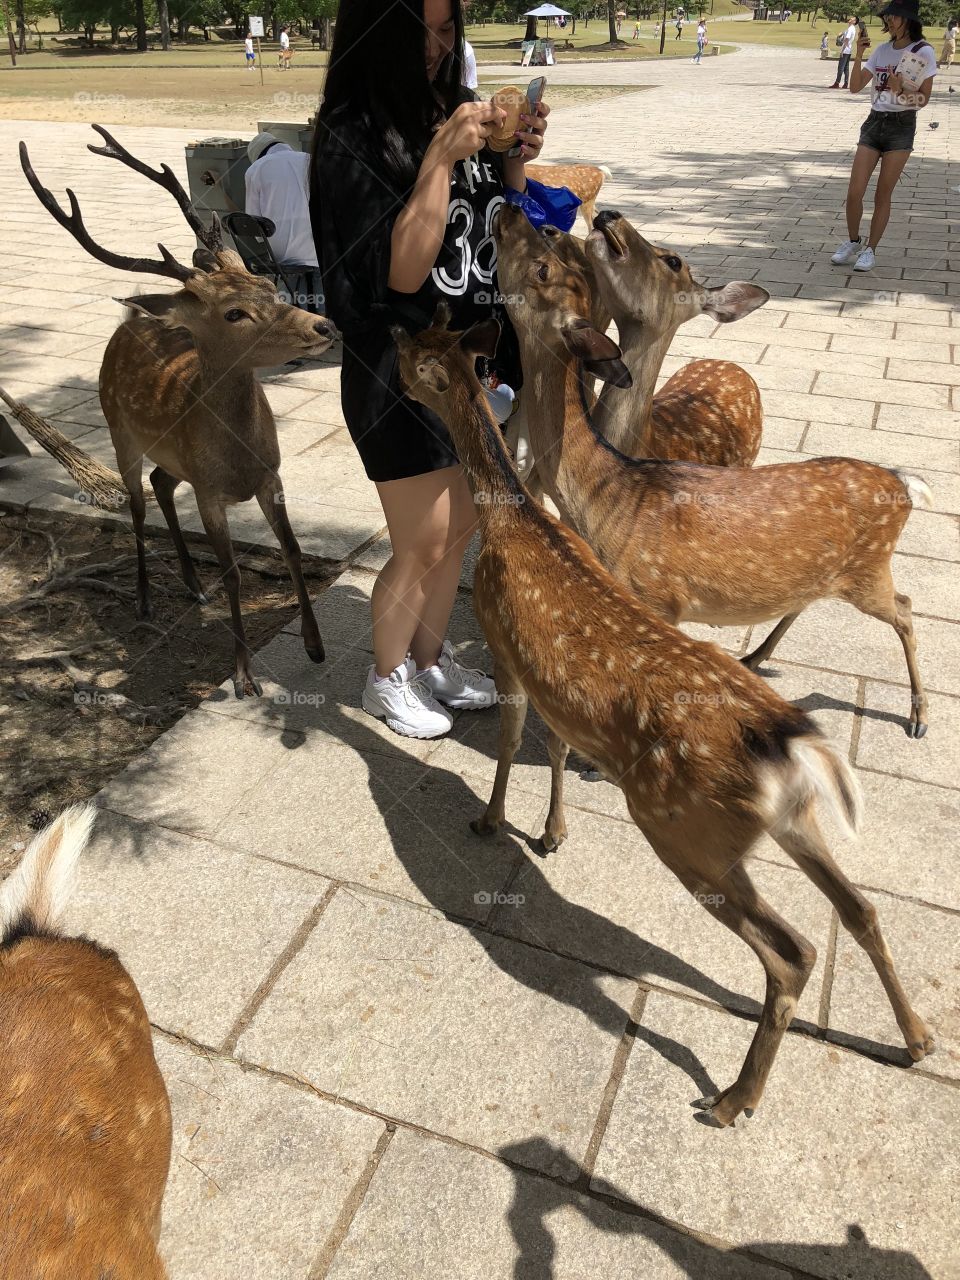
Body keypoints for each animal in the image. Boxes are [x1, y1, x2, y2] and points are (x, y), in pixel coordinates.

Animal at [19, 126, 337, 697]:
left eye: (269, 287)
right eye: (234, 313)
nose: (321, 326)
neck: (236, 463)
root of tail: (129, 323)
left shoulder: (271, 475)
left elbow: (294, 549)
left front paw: (315, 645)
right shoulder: (209, 492)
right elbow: (233, 572)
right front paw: (243, 677)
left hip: (171, 456)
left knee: (162, 483)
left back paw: (192, 586)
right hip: (119, 432)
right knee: (137, 502)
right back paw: (146, 598)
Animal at [391, 308, 933, 1129]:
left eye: (416, 349)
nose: (387, 337)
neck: (515, 522)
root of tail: (788, 747)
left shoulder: (504, 646)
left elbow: (514, 740)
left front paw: (491, 821)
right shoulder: (558, 691)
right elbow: (556, 749)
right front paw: (552, 832)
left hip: (688, 834)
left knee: (794, 951)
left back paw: (733, 1098)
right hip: (794, 823)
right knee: (861, 908)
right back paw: (919, 1039)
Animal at [495, 203, 930, 738]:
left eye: (543, 269)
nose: (512, 210)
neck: (606, 500)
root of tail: (904, 486)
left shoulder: (659, 596)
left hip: (871, 571)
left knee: (906, 608)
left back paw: (918, 717)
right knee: (811, 598)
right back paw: (755, 657)